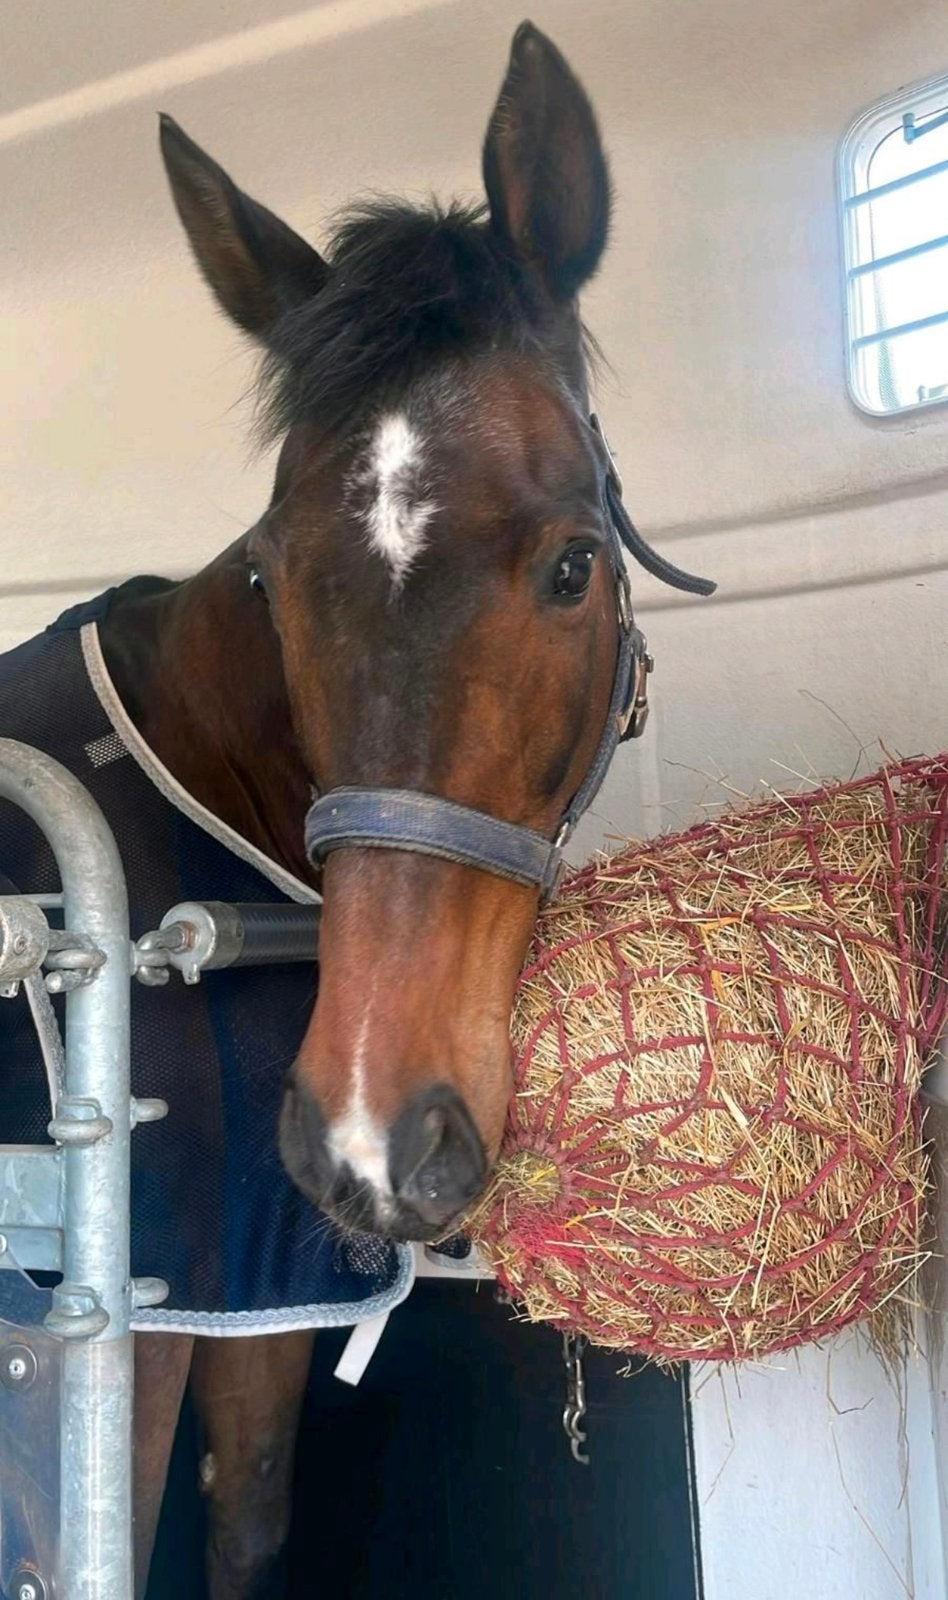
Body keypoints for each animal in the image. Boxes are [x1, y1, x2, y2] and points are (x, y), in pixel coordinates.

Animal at [5, 23, 711, 1598]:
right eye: (274, 573)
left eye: (576, 563)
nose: (380, 1136)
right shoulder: (116, 1334)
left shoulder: (255, 1302)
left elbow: (250, 1521)